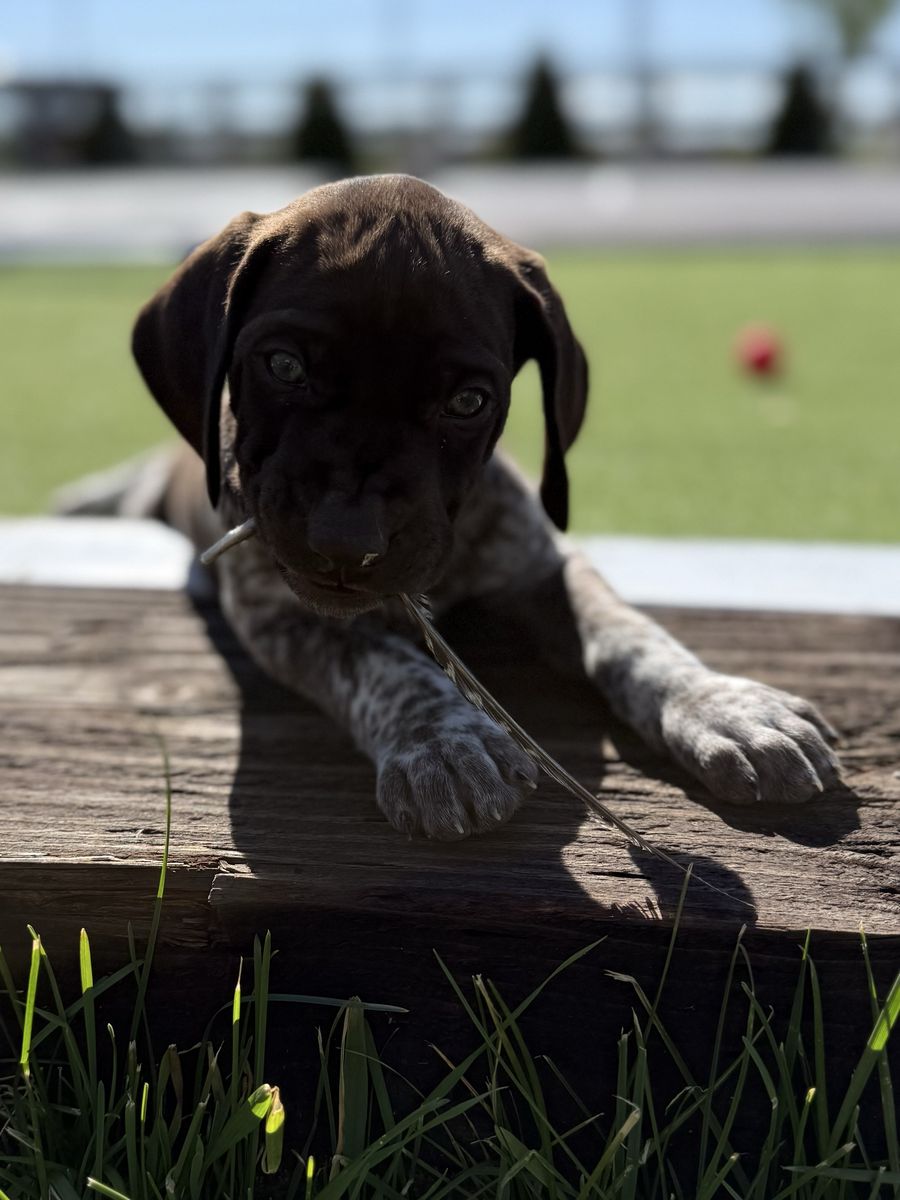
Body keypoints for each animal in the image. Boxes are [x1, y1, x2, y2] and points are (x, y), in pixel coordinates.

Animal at [129, 173, 841, 840]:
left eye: (468, 402)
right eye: (282, 365)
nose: (345, 542)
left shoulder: (544, 564)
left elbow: (628, 632)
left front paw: (721, 705)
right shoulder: (280, 616)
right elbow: (381, 659)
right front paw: (443, 739)